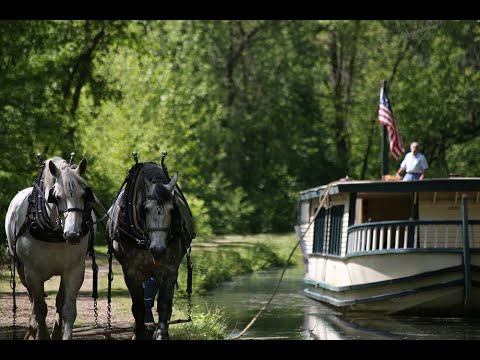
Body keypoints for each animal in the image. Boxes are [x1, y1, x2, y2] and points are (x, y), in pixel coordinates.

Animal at [4, 156, 96, 338]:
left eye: (84, 195)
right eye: (57, 197)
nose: (73, 234)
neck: (53, 232)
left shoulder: (75, 270)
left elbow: (68, 310)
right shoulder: (32, 273)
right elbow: (40, 309)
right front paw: (41, 333)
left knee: (59, 301)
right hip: (21, 269)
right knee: (33, 300)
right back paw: (33, 328)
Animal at [106, 160, 194, 340]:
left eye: (172, 210)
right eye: (145, 209)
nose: (158, 249)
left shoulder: (169, 270)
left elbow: (164, 303)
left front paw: (161, 333)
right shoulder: (131, 272)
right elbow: (139, 305)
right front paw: (139, 332)